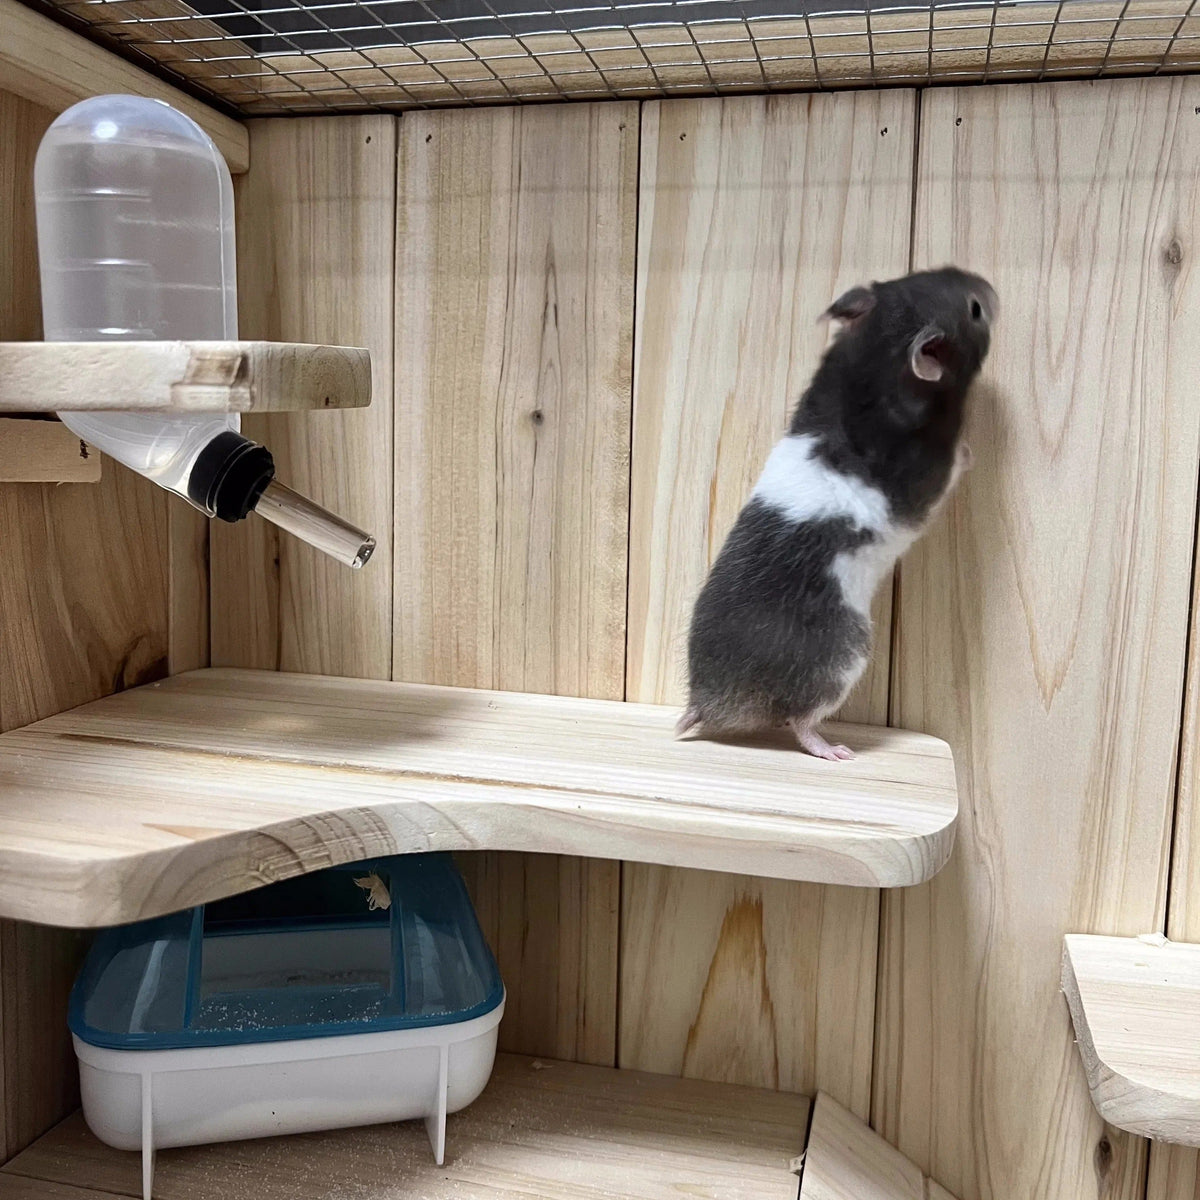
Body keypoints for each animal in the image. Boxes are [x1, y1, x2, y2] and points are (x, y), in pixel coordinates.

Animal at [677, 266, 997, 761]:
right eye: (975, 309)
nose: (991, 287)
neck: (875, 364)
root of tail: (707, 701)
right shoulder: (927, 476)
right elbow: (951, 468)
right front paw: (971, 451)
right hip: (842, 659)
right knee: (800, 719)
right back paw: (835, 750)